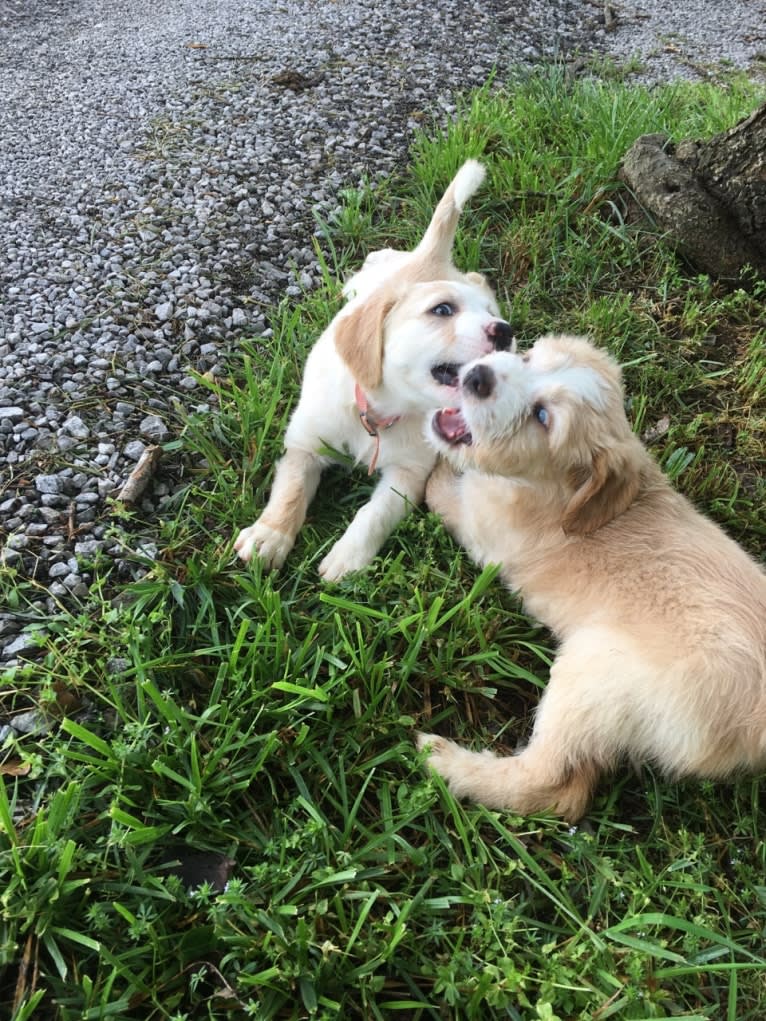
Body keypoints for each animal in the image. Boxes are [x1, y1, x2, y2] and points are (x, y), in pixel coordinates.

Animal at [233, 159, 510, 579]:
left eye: (491, 314)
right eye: (443, 309)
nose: (506, 332)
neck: (381, 412)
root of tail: (429, 258)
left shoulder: (408, 474)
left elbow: (374, 512)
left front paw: (347, 559)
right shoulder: (304, 444)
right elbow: (291, 489)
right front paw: (269, 536)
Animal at [420, 334, 766, 820]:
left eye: (542, 418)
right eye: (527, 357)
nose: (477, 376)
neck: (554, 493)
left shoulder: (478, 524)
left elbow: (438, 489)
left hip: (589, 673)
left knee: (550, 786)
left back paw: (447, 763)